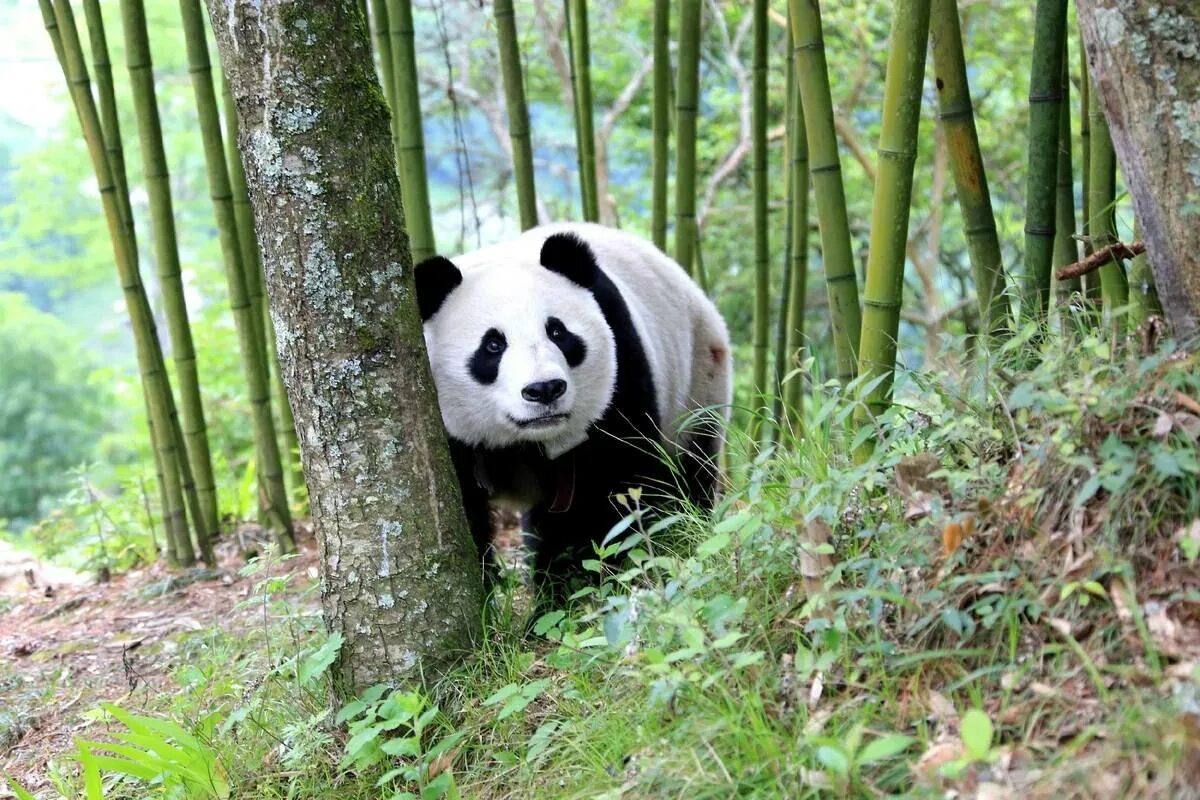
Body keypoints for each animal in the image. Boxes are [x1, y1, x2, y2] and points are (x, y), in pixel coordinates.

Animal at [412, 221, 729, 597]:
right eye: (493, 345)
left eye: (558, 332)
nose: (545, 389)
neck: (523, 441)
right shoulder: (445, 431)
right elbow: (463, 509)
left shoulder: (619, 371)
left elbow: (605, 496)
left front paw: (568, 594)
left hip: (698, 383)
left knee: (689, 473)